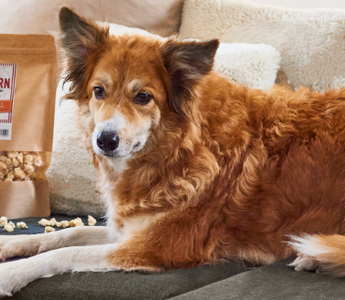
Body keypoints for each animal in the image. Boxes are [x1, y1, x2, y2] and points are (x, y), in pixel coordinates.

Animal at [0, 6, 344, 296]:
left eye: (143, 97)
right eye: (98, 91)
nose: (105, 140)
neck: (177, 149)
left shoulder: (153, 247)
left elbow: (65, 253)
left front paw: (11, 274)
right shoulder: (130, 229)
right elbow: (67, 236)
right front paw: (10, 244)